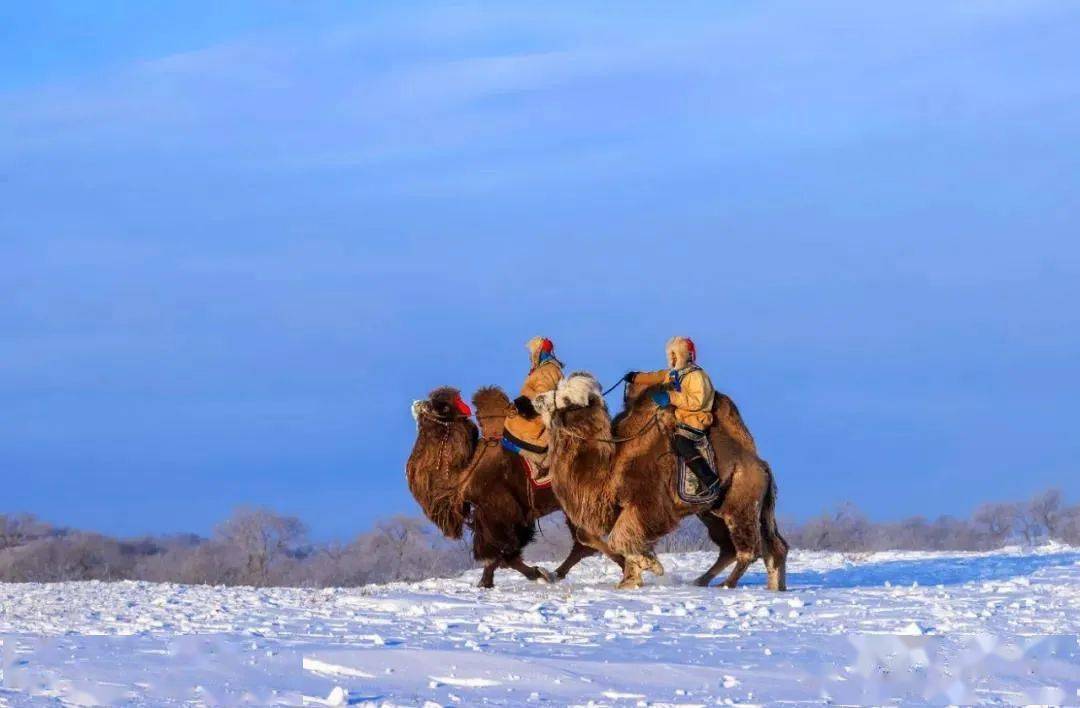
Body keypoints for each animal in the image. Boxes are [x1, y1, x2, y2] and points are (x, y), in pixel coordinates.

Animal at [406, 386, 613, 587]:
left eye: (441, 406)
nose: (417, 404)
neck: (467, 469)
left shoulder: (501, 513)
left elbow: (503, 553)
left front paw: (528, 574)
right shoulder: (490, 516)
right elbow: (500, 554)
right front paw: (490, 582)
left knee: (584, 540)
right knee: (583, 542)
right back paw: (556, 573)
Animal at [535, 373, 790, 587]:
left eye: (567, 399)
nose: (538, 399)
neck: (609, 464)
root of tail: (762, 466)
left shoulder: (649, 506)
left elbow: (620, 538)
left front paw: (650, 567)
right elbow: (598, 536)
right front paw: (630, 580)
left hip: (741, 506)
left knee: (749, 550)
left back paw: (726, 585)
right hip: (717, 511)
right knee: (766, 547)